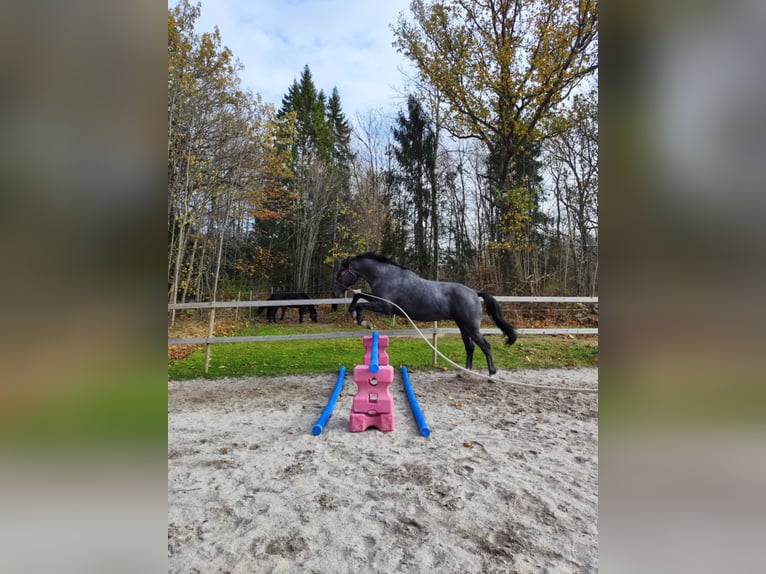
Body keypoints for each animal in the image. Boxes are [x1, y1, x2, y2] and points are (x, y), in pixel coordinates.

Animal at [332, 254, 520, 376]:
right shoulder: (379, 301)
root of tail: (474, 293)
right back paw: (465, 372)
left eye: (341, 274)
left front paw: (363, 321)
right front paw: (356, 315)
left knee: (485, 346)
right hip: (463, 327)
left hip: (471, 327)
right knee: (470, 347)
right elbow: (358, 296)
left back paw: (491, 373)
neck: (386, 276)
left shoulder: (385, 307)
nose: (335, 294)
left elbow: (361, 303)